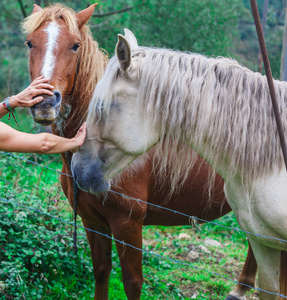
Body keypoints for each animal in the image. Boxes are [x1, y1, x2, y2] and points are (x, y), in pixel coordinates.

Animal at [21, 3, 258, 298]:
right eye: (30, 43)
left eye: (75, 45)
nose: (44, 102)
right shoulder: (92, 220)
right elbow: (101, 271)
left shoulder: (128, 224)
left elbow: (132, 282)